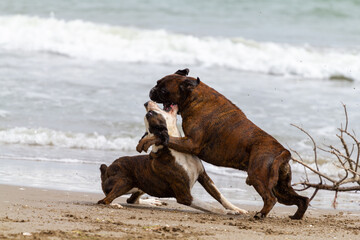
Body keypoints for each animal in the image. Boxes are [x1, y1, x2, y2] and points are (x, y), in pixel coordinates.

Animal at [97, 100, 246, 215]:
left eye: (150, 114)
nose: (146, 103)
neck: (176, 150)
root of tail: (107, 170)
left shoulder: (204, 176)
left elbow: (220, 196)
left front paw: (236, 209)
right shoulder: (185, 196)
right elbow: (210, 206)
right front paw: (227, 212)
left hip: (142, 185)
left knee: (132, 199)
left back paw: (152, 201)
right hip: (125, 181)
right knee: (104, 200)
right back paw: (115, 205)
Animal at [137, 68, 310, 219]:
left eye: (163, 90)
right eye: (157, 83)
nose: (152, 91)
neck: (196, 98)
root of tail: (282, 152)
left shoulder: (191, 143)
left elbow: (161, 138)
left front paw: (145, 142)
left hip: (258, 177)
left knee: (271, 198)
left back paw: (261, 214)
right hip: (281, 187)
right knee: (302, 200)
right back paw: (296, 217)